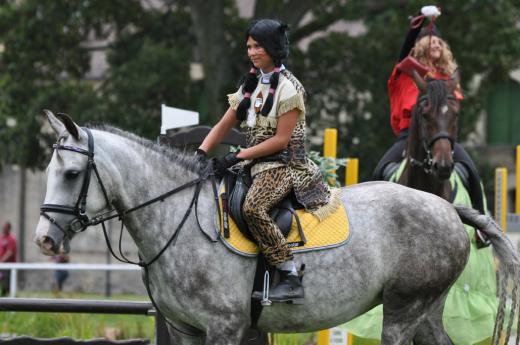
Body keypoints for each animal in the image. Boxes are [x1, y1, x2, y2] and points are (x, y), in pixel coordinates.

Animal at [34, 111, 516, 344]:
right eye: (48, 171)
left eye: (72, 174)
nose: (44, 239)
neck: (177, 218)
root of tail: (446, 208)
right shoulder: (186, 330)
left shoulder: (223, 328)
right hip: (426, 311)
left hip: (403, 310)